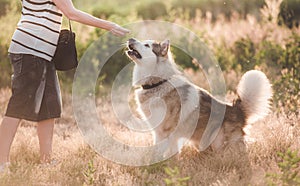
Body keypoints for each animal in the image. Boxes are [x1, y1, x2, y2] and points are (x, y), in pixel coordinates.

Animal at [125, 38, 274, 153]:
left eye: (147, 45)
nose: (130, 39)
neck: (158, 83)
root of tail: (237, 110)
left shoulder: (165, 131)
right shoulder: (159, 131)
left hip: (218, 141)